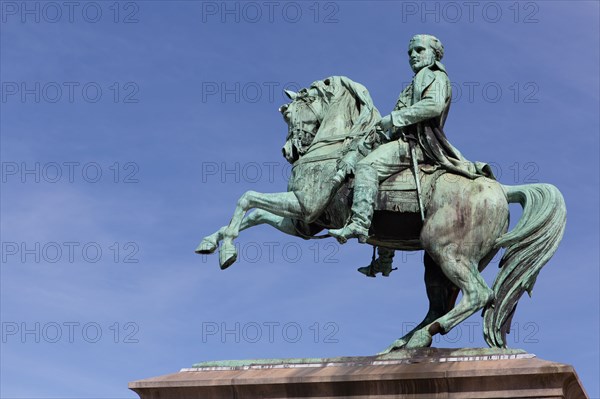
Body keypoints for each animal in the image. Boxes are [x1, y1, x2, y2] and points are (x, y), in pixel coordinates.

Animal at [197, 76, 568, 352]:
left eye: (287, 112)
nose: (289, 151)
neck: (335, 148)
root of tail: (501, 190)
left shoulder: (304, 204)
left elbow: (246, 199)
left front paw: (227, 251)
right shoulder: (302, 221)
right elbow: (252, 214)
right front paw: (212, 242)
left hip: (447, 251)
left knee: (479, 295)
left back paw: (420, 337)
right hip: (437, 263)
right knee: (441, 304)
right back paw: (405, 341)